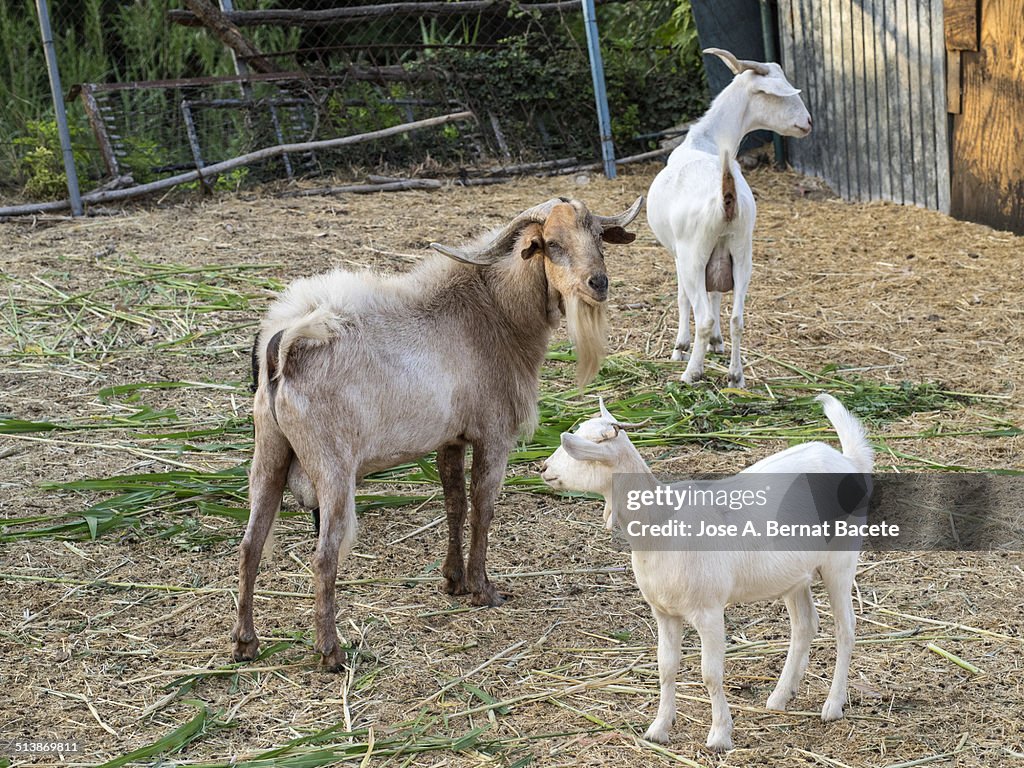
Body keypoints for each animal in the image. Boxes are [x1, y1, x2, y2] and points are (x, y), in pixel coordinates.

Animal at [235, 195, 643, 671]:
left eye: (597, 236)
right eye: (552, 244)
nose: (598, 283)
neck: (493, 312)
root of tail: (284, 346)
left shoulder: (450, 439)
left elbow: (454, 504)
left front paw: (453, 581)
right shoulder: (493, 435)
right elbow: (483, 506)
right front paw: (484, 589)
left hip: (269, 453)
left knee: (250, 543)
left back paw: (245, 643)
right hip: (331, 468)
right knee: (323, 556)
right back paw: (331, 651)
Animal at [536, 397, 872, 753]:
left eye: (588, 445)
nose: (542, 467)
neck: (662, 523)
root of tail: (848, 460)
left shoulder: (708, 610)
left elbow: (710, 674)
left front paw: (720, 735)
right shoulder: (664, 612)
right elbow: (666, 668)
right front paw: (658, 729)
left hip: (840, 562)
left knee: (846, 628)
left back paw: (833, 705)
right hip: (795, 575)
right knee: (805, 625)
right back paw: (780, 696)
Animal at [647, 48, 815, 387]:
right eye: (780, 92)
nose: (808, 122)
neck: (707, 141)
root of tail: (727, 197)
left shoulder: (679, 254)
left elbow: (683, 298)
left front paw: (679, 348)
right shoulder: (721, 254)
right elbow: (716, 294)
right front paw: (717, 344)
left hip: (694, 253)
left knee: (703, 315)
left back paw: (691, 373)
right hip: (742, 251)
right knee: (737, 317)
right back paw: (736, 376)